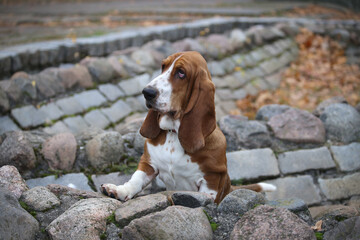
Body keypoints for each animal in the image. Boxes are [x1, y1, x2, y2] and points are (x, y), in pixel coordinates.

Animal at [100, 51, 274, 203]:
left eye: (181, 73)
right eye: (163, 66)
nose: (146, 92)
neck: (173, 133)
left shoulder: (212, 178)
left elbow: (207, 196)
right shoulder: (148, 164)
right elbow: (136, 180)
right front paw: (119, 190)